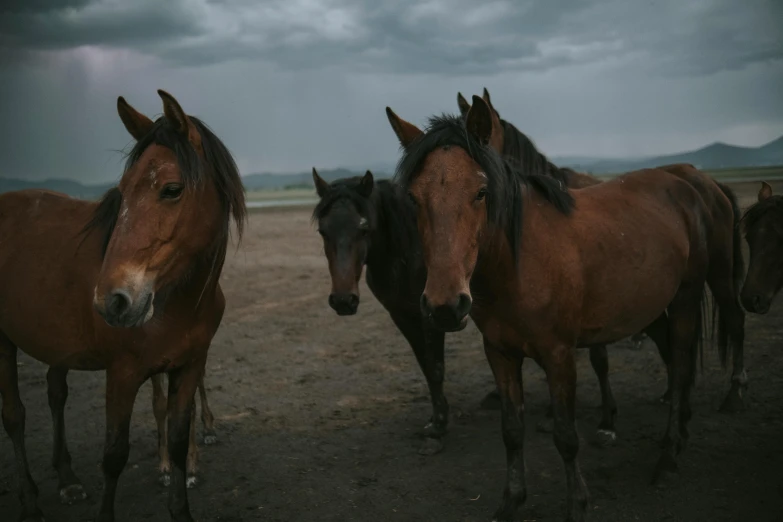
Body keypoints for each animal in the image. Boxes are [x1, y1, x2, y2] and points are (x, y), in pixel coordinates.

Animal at [0, 90, 245, 520]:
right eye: (123, 190)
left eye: (172, 189)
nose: (111, 301)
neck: (175, 304)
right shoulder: (123, 373)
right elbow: (114, 455)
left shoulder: (188, 367)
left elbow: (178, 443)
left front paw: (181, 505)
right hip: (2, 341)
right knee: (14, 416)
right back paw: (29, 500)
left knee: (55, 394)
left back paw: (67, 480)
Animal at [388, 95, 744, 516]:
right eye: (414, 198)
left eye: (480, 191)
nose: (445, 305)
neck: (519, 263)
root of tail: (692, 183)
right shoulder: (500, 353)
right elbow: (512, 431)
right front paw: (512, 501)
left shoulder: (559, 355)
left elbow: (566, 436)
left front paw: (578, 502)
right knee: (677, 363)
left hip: (695, 292)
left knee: (694, 355)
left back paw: (674, 451)